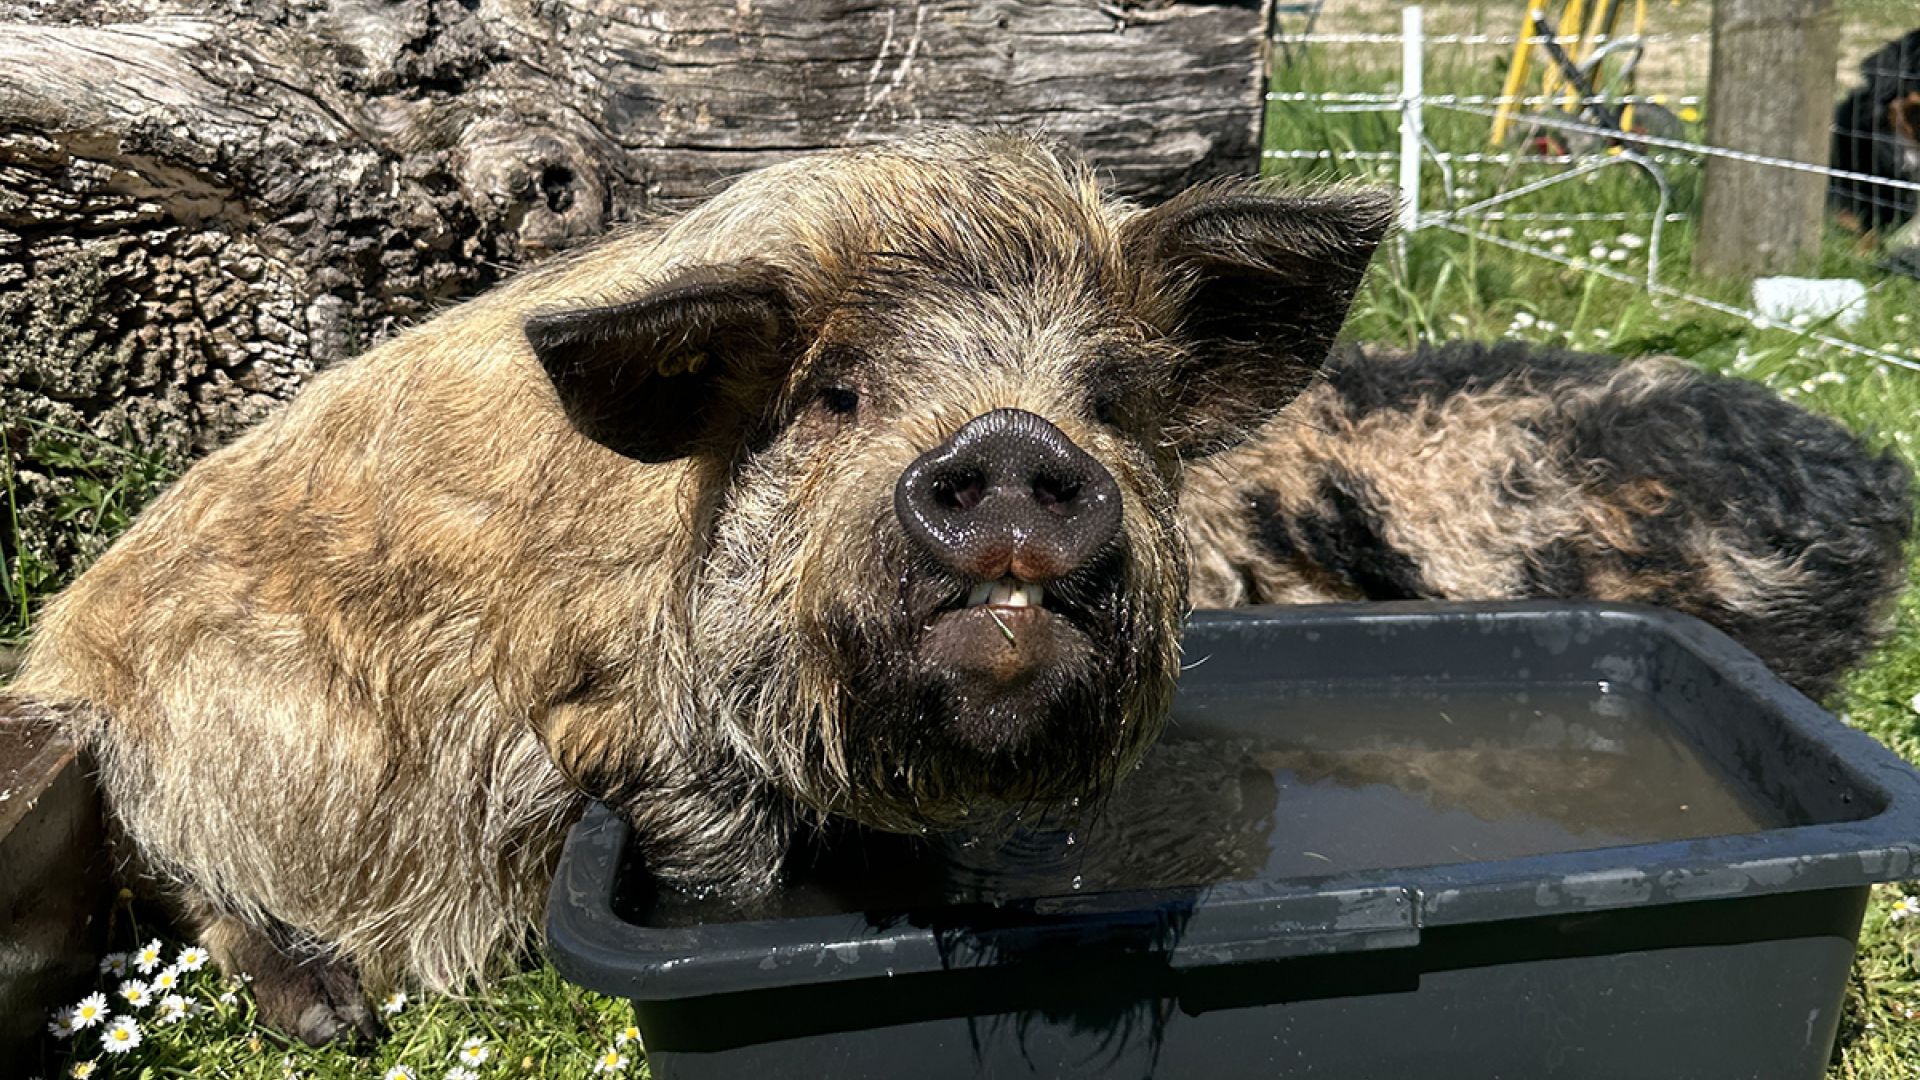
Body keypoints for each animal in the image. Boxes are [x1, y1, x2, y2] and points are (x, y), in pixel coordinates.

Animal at [3, 130, 1904, 1037]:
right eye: (835, 394)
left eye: (1113, 400)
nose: (1005, 445)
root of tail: (58, 658)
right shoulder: (639, 751)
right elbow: (728, 871)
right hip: (203, 760)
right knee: (198, 891)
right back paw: (333, 1018)